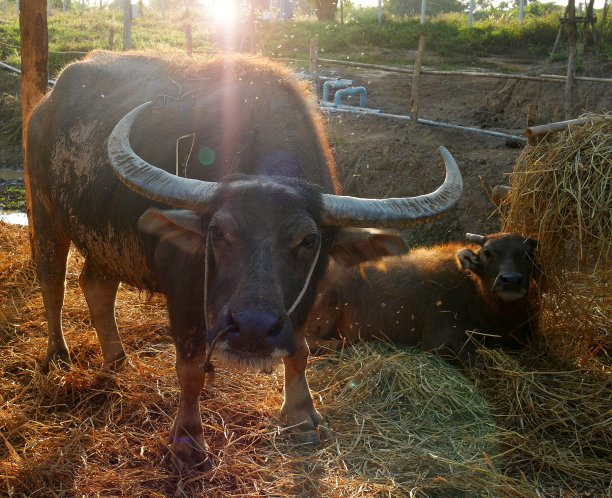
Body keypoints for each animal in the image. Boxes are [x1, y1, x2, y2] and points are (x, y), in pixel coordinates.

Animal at [26, 51, 462, 470]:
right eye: (218, 232)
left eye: (309, 240)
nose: (251, 328)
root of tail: (45, 104)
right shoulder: (184, 288)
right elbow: (190, 368)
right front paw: (189, 442)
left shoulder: (303, 298)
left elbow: (300, 351)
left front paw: (303, 418)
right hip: (44, 213)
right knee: (53, 282)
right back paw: (58, 357)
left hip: (106, 242)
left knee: (96, 286)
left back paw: (118, 362)